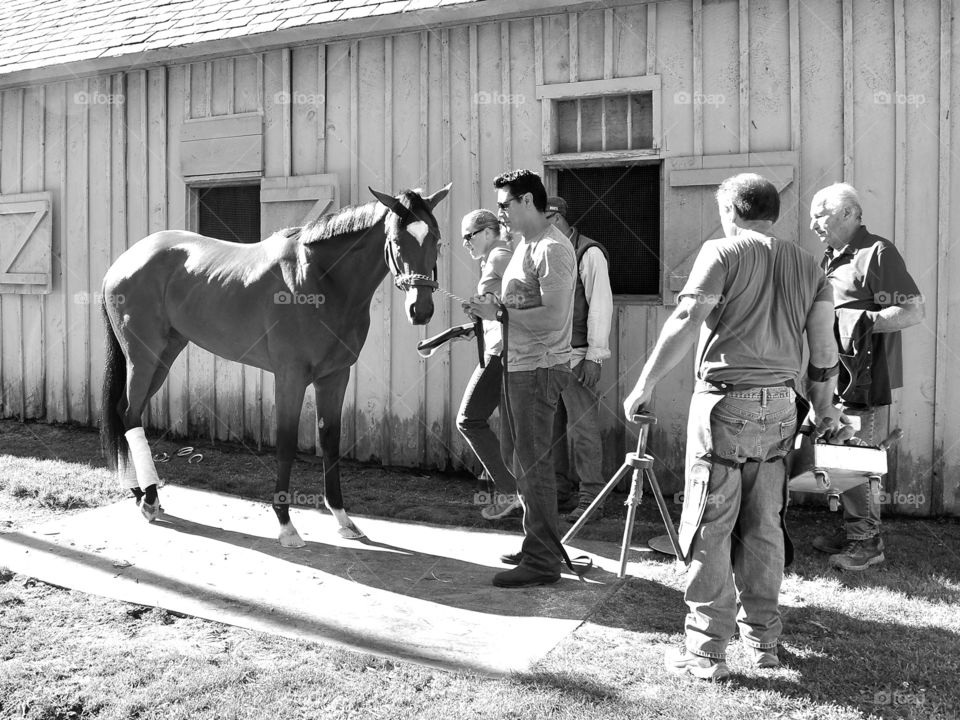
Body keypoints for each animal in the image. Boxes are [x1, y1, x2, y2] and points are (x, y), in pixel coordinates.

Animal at [100, 185, 451, 546]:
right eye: (395, 240)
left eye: (436, 239)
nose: (421, 310)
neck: (321, 279)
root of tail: (123, 262)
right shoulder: (290, 377)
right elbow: (285, 443)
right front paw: (286, 524)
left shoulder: (335, 376)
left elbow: (330, 440)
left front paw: (343, 519)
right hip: (143, 357)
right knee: (130, 415)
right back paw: (150, 499)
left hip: (165, 355)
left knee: (126, 412)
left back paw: (139, 493)